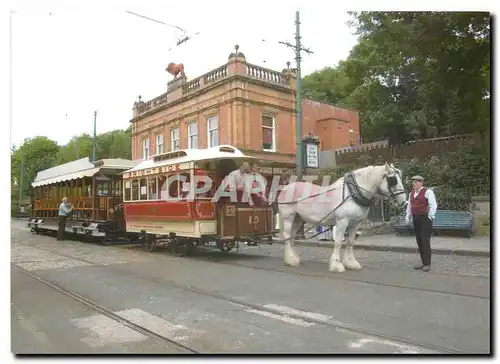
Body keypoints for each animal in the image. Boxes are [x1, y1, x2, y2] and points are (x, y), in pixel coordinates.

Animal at [278, 163, 406, 272]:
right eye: (393, 180)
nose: (404, 201)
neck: (352, 194)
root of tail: (284, 189)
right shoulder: (342, 221)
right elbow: (339, 242)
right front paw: (336, 265)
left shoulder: (355, 223)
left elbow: (350, 242)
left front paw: (351, 263)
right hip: (288, 217)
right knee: (287, 236)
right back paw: (291, 260)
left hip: (298, 219)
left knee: (292, 237)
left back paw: (293, 258)